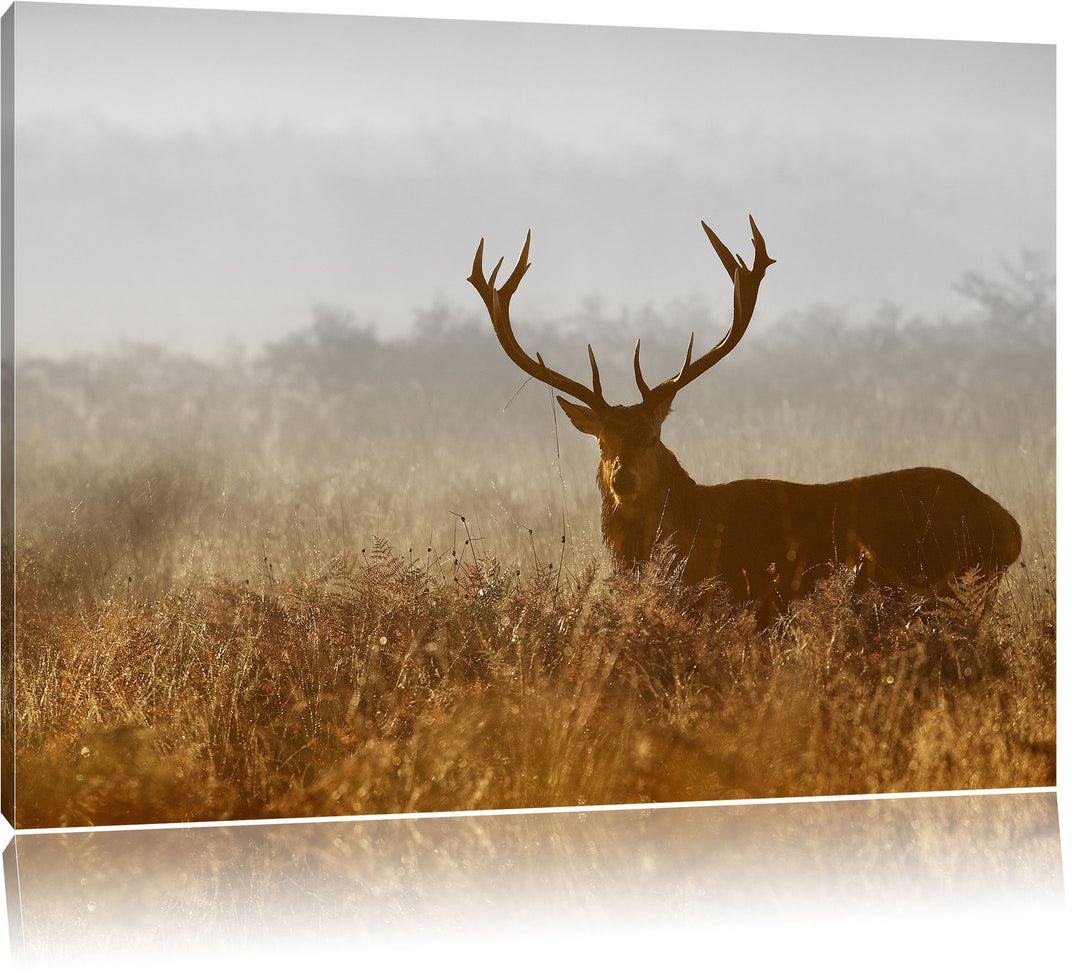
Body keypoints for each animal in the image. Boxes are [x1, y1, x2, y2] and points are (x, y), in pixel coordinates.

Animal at [467, 217, 1022, 626]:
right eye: (602, 441)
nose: (622, 478)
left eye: (651, 436)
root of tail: (1011, 528)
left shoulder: (745, 602)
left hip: (949, 584)